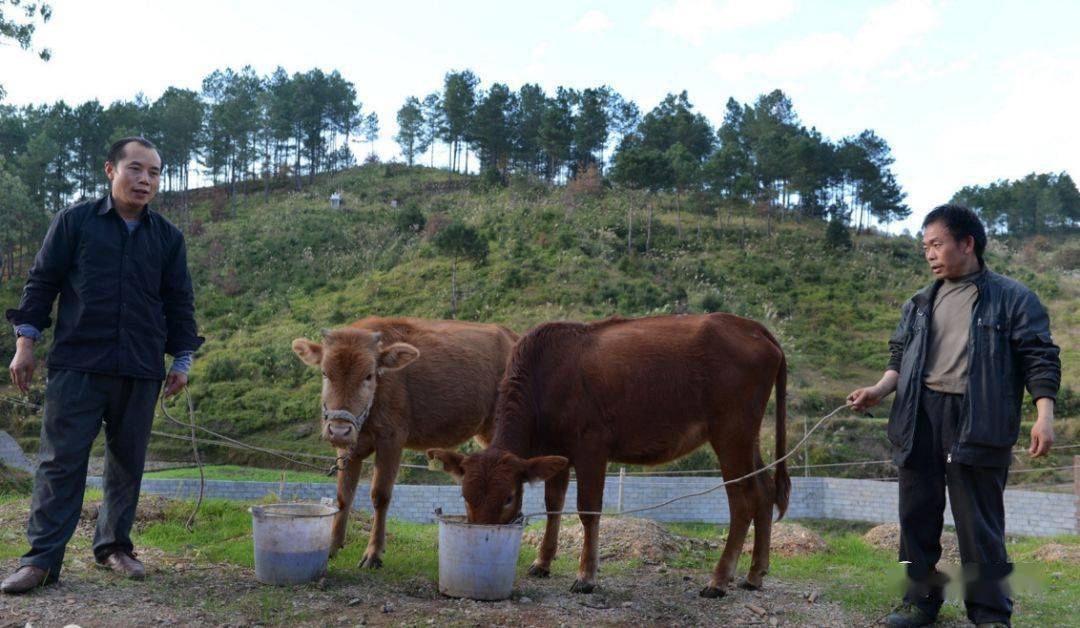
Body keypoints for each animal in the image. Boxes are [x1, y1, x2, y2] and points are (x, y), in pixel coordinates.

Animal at [291, 315, 518, 566]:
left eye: (369, 375)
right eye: (325, 373)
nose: (339, 430)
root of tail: (512, 336)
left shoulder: (392, 439)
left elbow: (380, 495)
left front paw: (373, 553)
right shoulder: (351, 448)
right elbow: (343, 496)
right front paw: (332, 546)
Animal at [425, 313, 790, 596]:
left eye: (508, 498)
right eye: (465, 496)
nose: (481, 541)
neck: (544, 378)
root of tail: (750, 326)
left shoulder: (591, 445)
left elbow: (588, 509)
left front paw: (586, 576)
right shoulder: (557, 451)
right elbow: (553, 504)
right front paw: (542, 562)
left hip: (731, 431)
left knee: (742, 499)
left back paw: (719, 580)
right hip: (748, 436)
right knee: (765, 491)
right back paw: (754, 574)